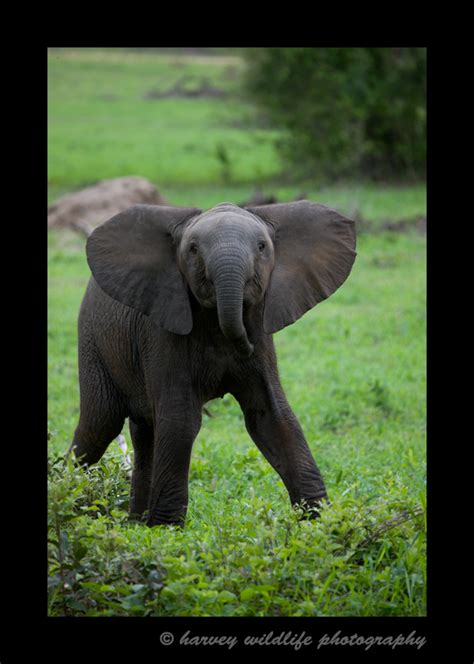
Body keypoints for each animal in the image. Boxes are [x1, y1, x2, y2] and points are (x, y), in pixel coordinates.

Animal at [70, 200, 356, 528]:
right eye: (193, 249)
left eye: (262, 247)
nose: (245, 344)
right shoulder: (163, 332)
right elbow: (181, 419)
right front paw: (167, 529)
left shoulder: (259, 330)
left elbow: (272, 416)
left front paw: (321, 522)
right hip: (91, 340)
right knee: (98, 427)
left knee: (144, 431)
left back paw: (136, 522)